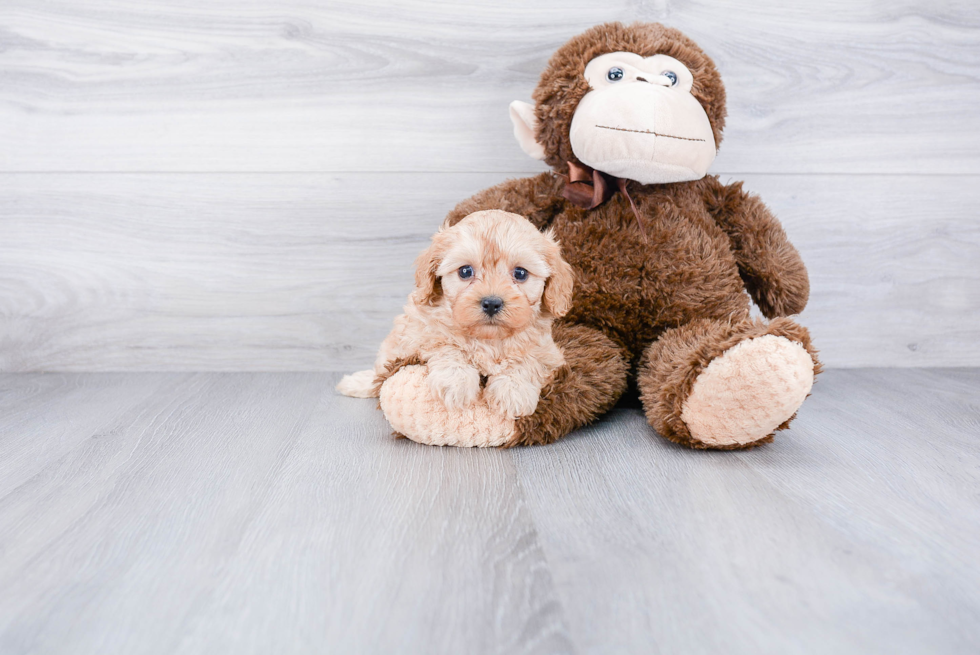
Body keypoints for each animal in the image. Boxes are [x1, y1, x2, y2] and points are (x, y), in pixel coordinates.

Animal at [340, 209, 580, 420]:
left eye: (520, 273)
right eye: (465, 271)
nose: (491, 303)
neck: (488, 339)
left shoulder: (548, 353)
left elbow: (527, 361)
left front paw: (513, 391)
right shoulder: (420, 333)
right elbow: (448, 345)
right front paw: (456, 382)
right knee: (378, 375)